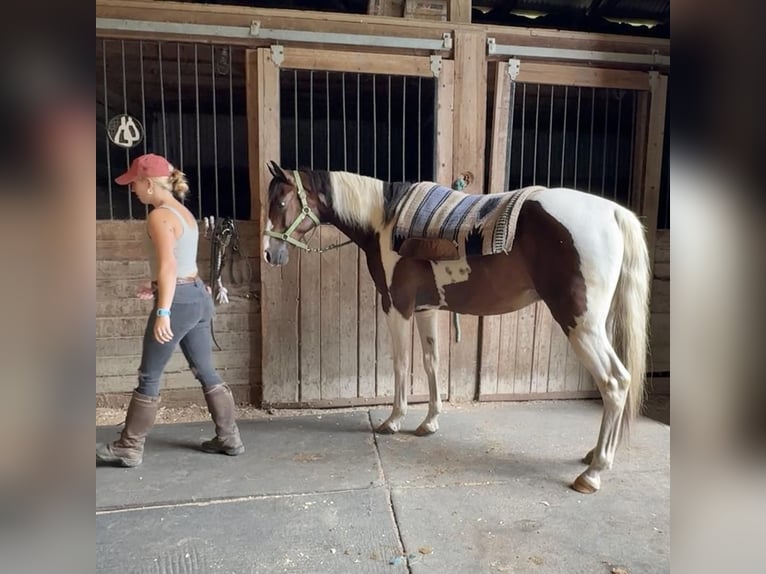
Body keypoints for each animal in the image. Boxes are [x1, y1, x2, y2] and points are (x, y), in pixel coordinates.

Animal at [266, 163, 656, 496]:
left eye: (282, 201)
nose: (271, 254)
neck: (385, 221)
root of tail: (612, 212)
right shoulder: (426, 311)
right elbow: (431, 363)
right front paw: (429, 423)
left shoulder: (397, 308)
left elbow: (400, 365)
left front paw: (393, 421)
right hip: (597, 325)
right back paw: (594, 455)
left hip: (581, 325)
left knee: (615, 383)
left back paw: (593, 472)